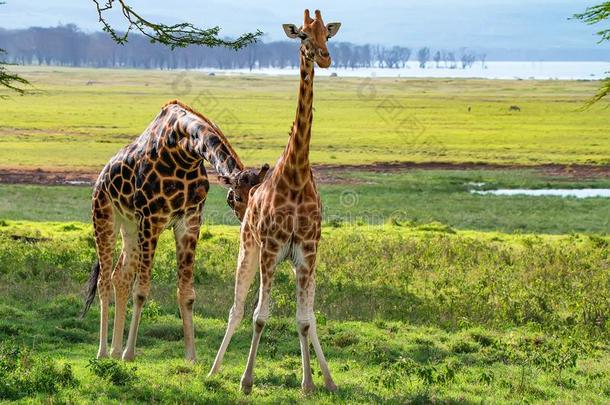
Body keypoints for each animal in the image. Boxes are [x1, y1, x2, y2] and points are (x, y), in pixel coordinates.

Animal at [82, 99, 268, 362]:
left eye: (261, 195)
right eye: (236, 198)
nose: (251, 223)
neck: (185, 152)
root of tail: (100, 177)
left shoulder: (189, 220)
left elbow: (187, 293)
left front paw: (191, 356)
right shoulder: (151, 218)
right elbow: (142, 290)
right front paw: (130, 353)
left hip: (130, 226)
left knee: (121, 276)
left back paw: (115, 350)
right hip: (105, 215)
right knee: (104, 281)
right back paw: (103, 352)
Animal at [208, 8, 342, 394]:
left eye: (328, 34)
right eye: (303, 35)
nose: (324, 57)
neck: (295, 175)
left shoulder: (307, 254)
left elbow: (305, 320)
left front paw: (311, 383)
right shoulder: (269, 249)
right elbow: (258, 316)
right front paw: (246, 380)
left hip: (295, 263)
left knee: (306, 314)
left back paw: (328, 380)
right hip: (248, 248)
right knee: (236, 308)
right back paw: (213, 370)